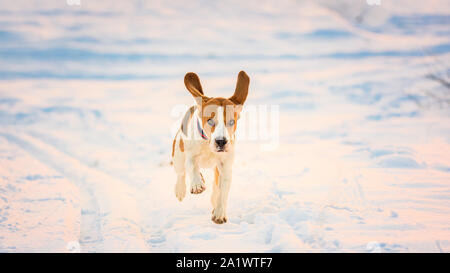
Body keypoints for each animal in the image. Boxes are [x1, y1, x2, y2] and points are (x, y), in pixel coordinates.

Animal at [171, 70, 250, 223]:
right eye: (210, 121)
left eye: (231, 122)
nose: (221, 142)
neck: (208, 146)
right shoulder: (190, 155)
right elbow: (192, 166)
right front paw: (197, 184)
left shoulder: (225, 166)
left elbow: (223, 191)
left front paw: (219, 212)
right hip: (178, 154)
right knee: (181, 172)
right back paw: (181, 189)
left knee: (215, 188)